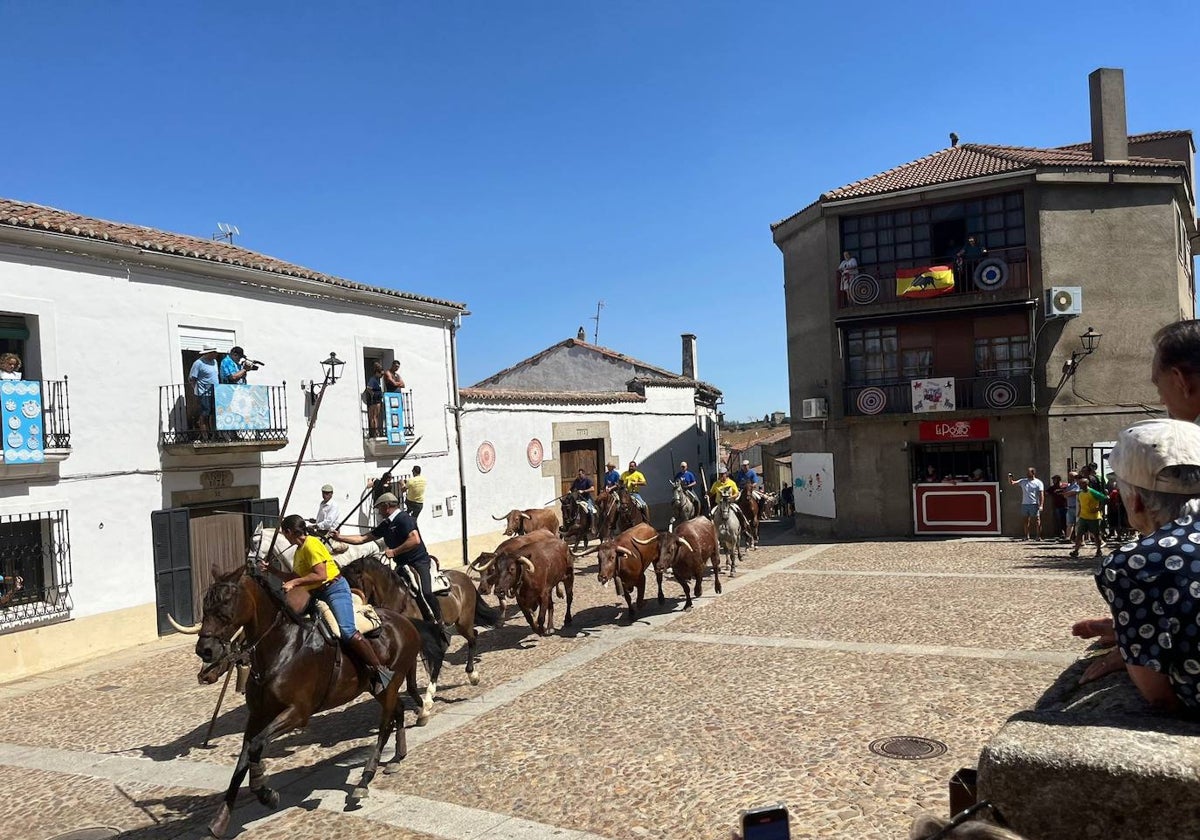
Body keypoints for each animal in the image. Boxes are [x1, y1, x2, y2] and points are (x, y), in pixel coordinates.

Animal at [177, 568, 422, 835]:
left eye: (225, 603)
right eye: (205, 604)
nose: (205, 650)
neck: (282, 649)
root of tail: (405, 622)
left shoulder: (297, 713)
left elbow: (256, 746)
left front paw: (265, 791)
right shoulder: (257, 715)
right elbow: (243, 759)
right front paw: (221, 819)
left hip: (390, 683)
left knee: (385, 725)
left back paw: (365, 780)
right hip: (379, 689)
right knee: (398, 709)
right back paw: (397, 758)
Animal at [338, 554, 501, 710]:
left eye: (353, 584)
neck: (397, 599)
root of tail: (464, 577)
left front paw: (426, 702)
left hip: (462, 621)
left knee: (472, 639)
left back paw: (472, 675)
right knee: (470, 636)